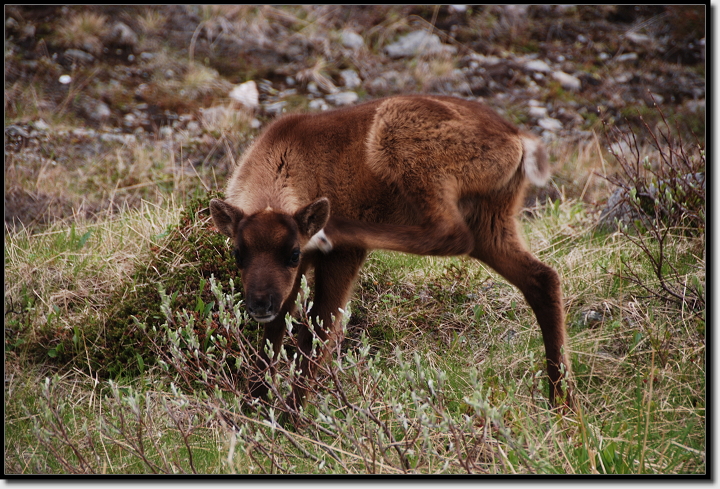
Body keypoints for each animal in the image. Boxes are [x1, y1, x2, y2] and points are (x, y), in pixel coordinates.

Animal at [210, 94, 572, 408]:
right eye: (237, 253)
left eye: (293, 253)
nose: (259, 303)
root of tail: (519, 140)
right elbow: (274, 333)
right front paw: (254, 408)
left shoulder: (338, 259)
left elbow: (319, 330)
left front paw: (290, 419)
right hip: (493, 221)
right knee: (542, 277)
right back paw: (561, 402)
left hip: (405, 144)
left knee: (450, 234)